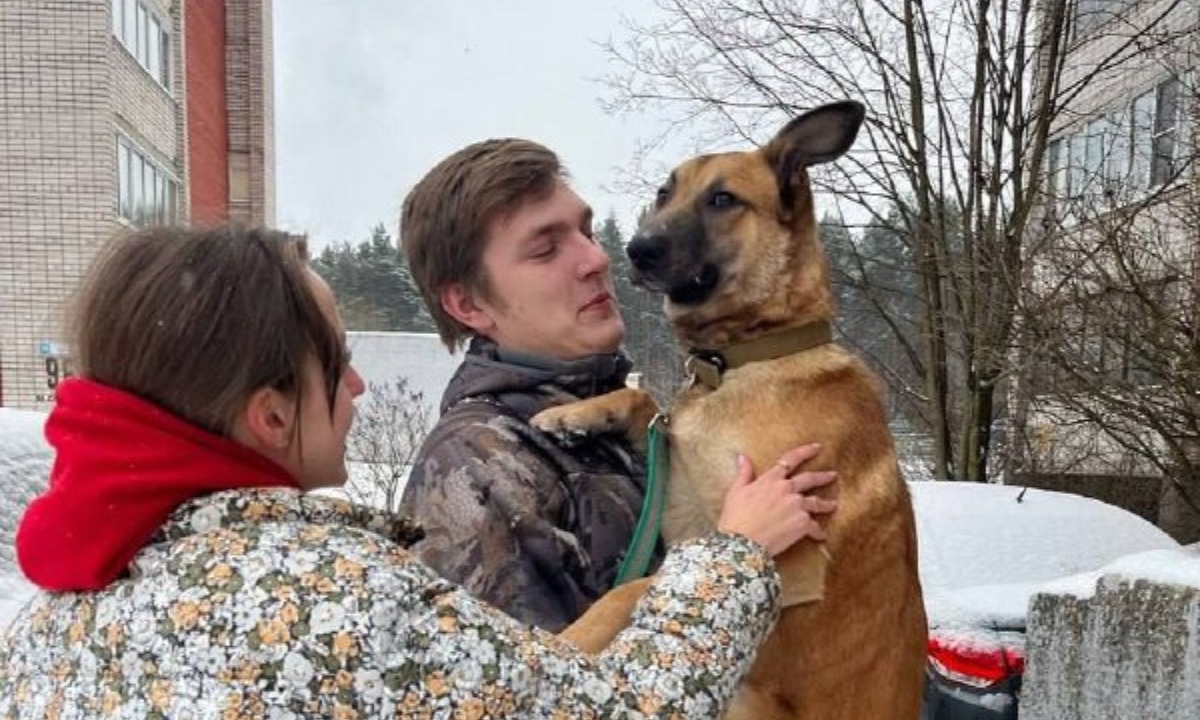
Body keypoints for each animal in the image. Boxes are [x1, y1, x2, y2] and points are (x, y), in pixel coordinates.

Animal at [535, 101, 926, 720]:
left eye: (723, 199)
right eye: (664, 192)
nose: (637, 250)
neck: (744, 356)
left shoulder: (789, 561)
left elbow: (635, 587)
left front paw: (572, 637)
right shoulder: (680, 485)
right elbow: (648, 402)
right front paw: (577, 417)